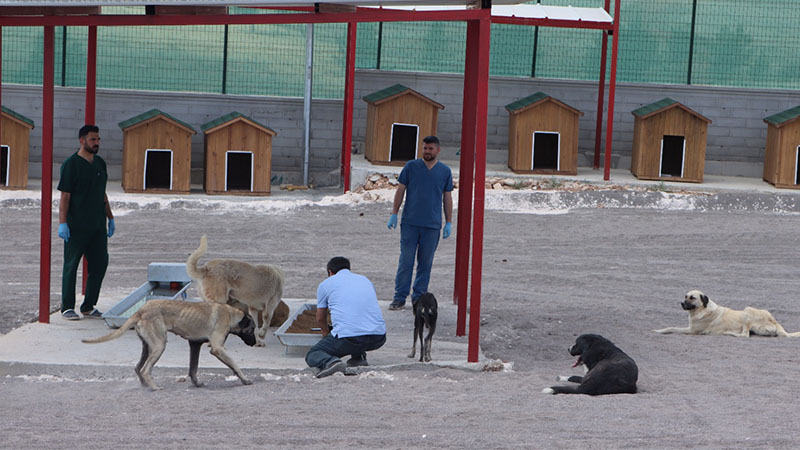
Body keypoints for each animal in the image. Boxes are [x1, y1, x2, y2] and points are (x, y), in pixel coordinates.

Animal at [81, 298, 256, 390]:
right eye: (253, 328)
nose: (255, 343)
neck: (231, 314)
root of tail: (141, 310)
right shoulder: (218, 349)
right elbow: (235, 365)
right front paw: (244, 379)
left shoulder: (194, 345)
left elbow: (193, 368)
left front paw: (196, 383)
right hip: (159, 346)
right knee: (145, 369)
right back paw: (154, 387)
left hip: (148, 346)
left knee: (138, 367)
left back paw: (145, 385)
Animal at [652, 290, 800, 336]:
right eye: (685, 296)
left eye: (692, 298)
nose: (682, 303)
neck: (702, 309)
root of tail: (774, 321)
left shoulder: (692, 330)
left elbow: (671, 328)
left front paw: (659, 331)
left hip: (747, 311)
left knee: (745, 335)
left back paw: (730, 333)